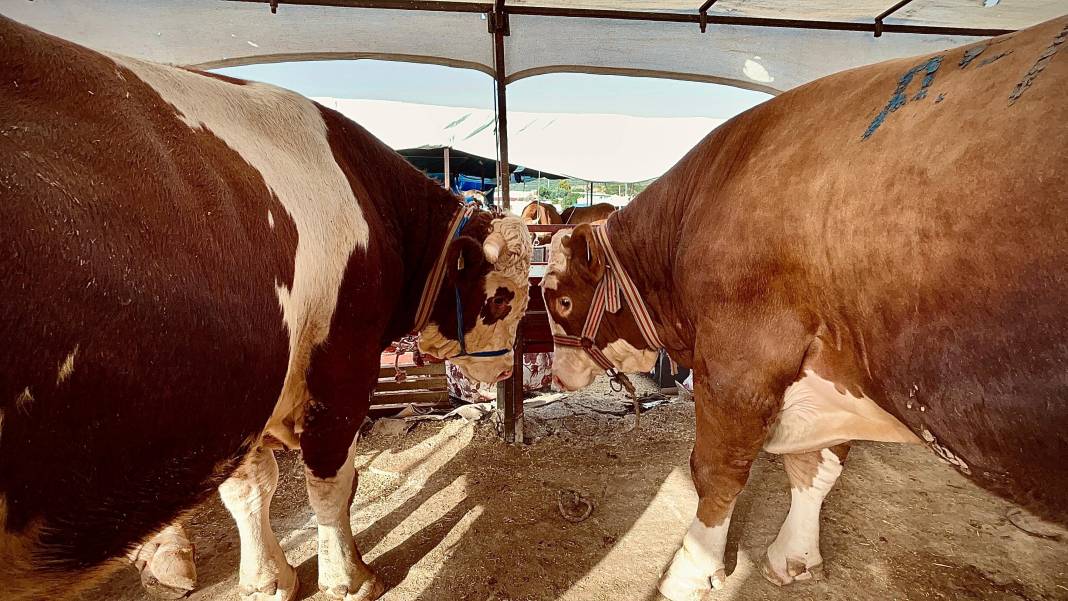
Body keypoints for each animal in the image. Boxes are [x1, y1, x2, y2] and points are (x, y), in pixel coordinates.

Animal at [0, 15, 531, 601]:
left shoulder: (244, 391)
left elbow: (251, 488)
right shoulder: (339, 369)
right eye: (503, 296)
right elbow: (328, 479)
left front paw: (266, 578)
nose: (507, 365)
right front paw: (348, 578)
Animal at [542, 17, 1068, 601]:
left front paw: (688, 571)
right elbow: (818, 467)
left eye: (561, 299)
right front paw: (792, 556)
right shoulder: (833, 369)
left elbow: (716, 469)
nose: (554, 377)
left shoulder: (737, 363)